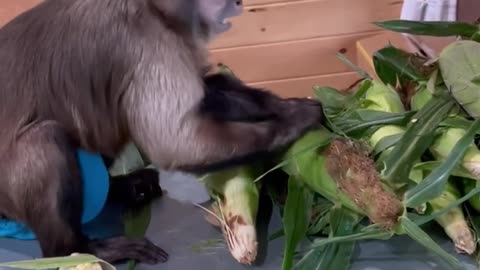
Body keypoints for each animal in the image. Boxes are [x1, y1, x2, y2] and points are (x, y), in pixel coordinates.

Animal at [0, 0, 324, 266]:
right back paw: (79, 249)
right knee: (45, 139)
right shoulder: (147, 40)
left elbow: (209, 92)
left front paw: (288, 106)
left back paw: (125, 189)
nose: (237, 2)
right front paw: (298, 120)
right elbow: (176, 143)